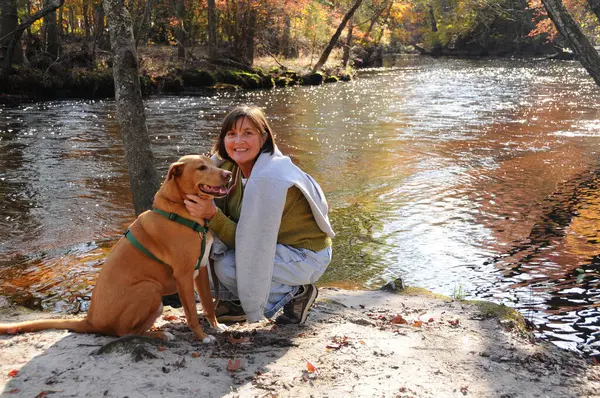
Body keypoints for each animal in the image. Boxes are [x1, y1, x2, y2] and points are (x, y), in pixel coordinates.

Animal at [0, 155, 232, 342]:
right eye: (201, 168)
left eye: (214, 164)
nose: (228, 174)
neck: (181, 212)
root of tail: (90, 320)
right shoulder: (183, 276)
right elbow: (192, 313)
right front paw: (202, 336)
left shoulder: (202, 268)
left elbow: (208, 304)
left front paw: (216, 326)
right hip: (149, 289)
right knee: (126, 333)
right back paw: (160, 335)